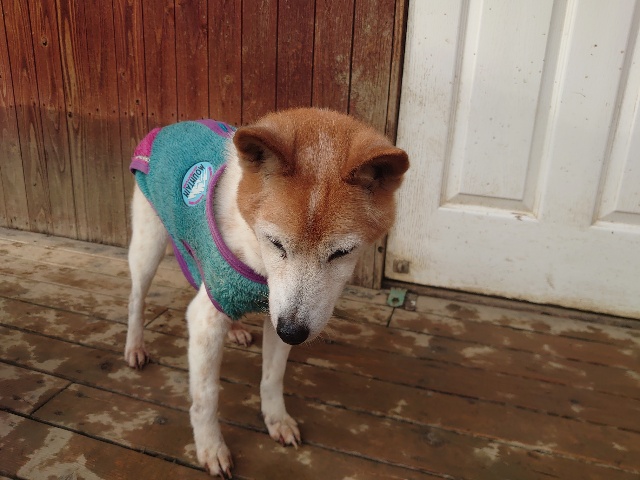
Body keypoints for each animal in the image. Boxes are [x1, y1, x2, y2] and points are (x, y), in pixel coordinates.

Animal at [124, 108, 409, 477]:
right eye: (276, 243)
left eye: (341, 253)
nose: (293, 333)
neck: (260, 266)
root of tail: (168, 127)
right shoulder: (206, 321)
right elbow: (205, 397)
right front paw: (211, 448)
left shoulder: (280, 315)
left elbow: (272, 379)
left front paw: (277, 421)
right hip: (148, 247)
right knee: (136, 299)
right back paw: (134, 347)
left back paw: (235, 329)